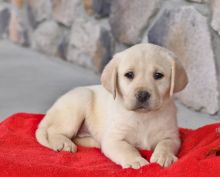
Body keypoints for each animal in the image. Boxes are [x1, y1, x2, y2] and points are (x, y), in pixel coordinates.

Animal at [35, 43, 187, 169]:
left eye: (158, 75)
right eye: (129, 75)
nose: (142, 95)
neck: (144, 117)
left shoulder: (172, 136)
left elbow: (165, 144)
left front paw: (164, 156)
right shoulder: (114, 139)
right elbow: (126, 149)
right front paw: (135, 161)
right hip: (79, 102)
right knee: (53, 131)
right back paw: (63, 143)